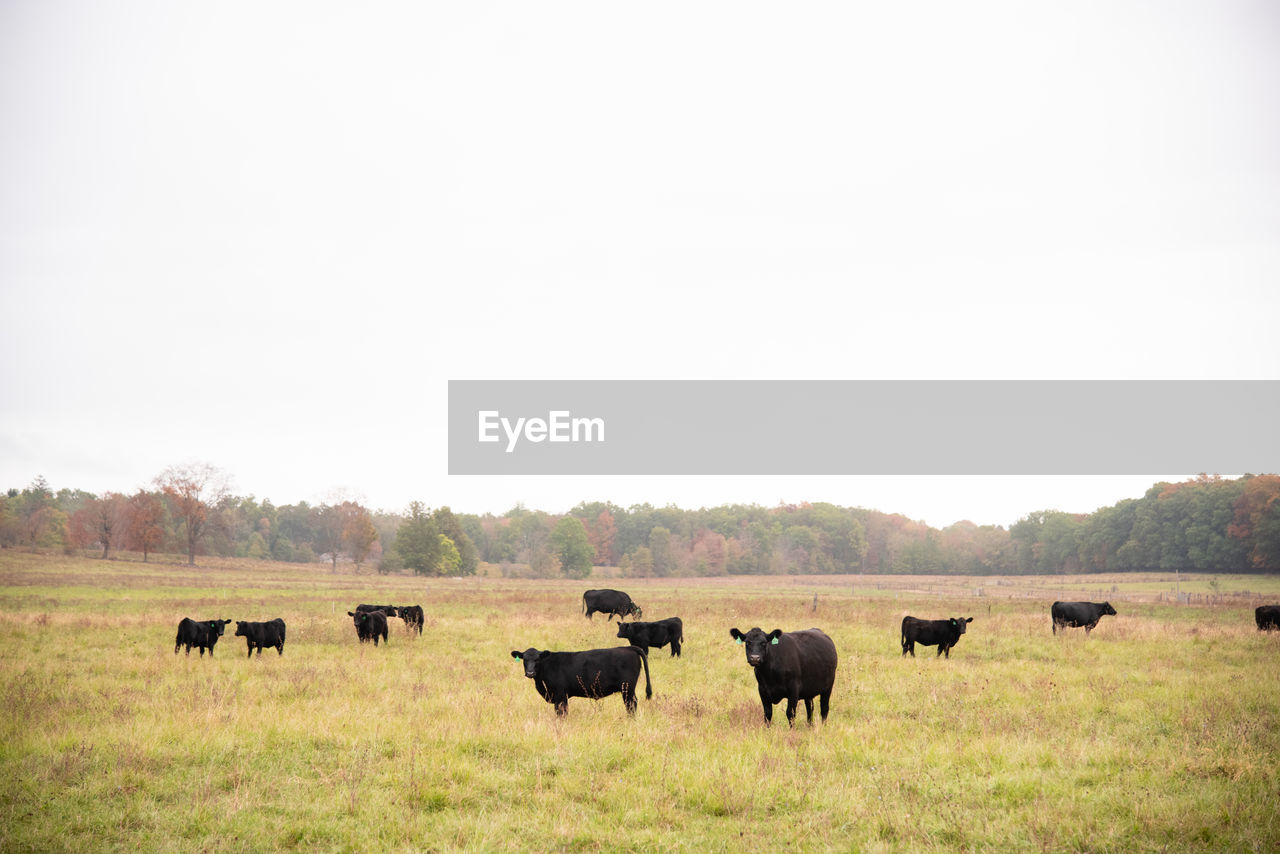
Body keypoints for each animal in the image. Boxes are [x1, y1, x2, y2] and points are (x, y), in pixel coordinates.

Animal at [506, 645, 650, 717]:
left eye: (537, 659)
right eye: (524, 659)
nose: (530, 673)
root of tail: (627, 647)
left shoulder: (560, 695)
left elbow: (561, 712)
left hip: (628, 688)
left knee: (631, 704)